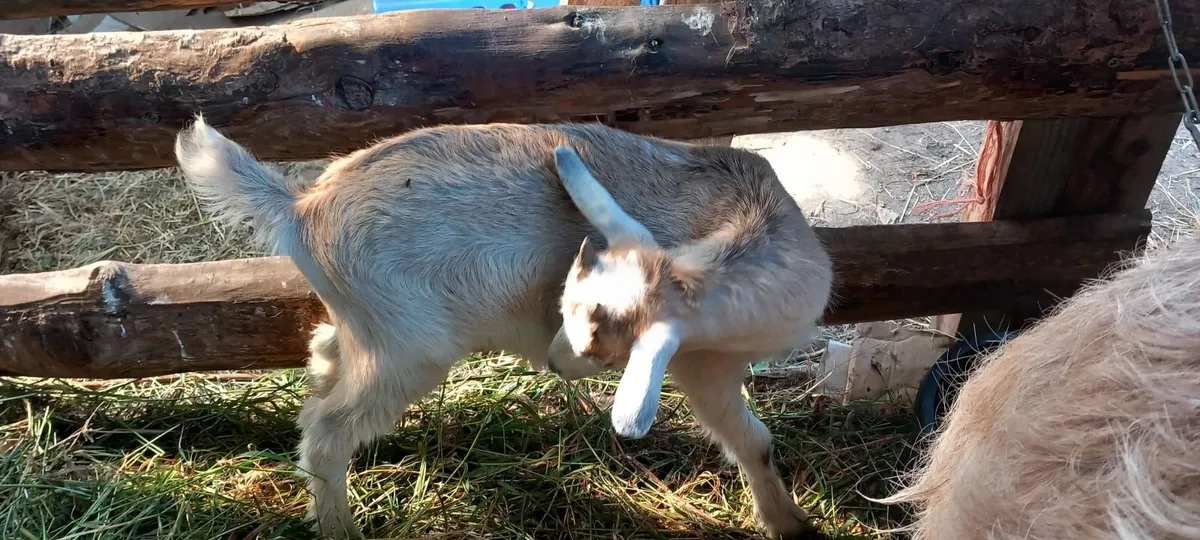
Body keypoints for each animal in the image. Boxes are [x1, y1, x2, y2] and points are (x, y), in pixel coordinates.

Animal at [174, 117, 834, 539]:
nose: (555, 361)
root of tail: (300, 208)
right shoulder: (702, 366)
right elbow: (753, 441)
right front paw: (790, 524)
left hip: (365, 327)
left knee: (321, 358)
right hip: (408, 347)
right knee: (326, 428)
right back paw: (340, 529)